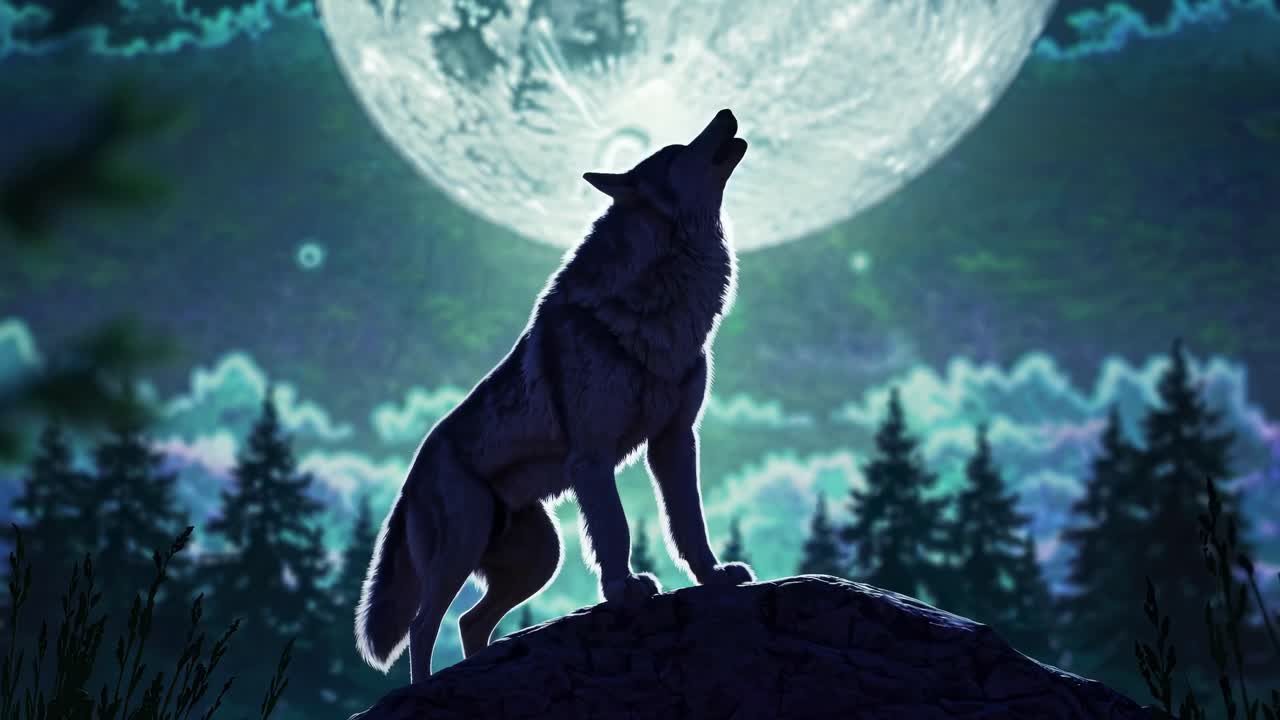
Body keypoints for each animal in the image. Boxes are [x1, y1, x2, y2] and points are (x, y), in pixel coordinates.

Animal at [355, 109, 755, 681]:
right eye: (680, 150)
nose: (726, 113)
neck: (662, 305)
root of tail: (410, 478)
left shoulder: (675, 441)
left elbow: (689, 524)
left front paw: (714, 576)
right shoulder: (592, 457)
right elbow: (615, 530)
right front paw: (625, 591)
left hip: (541, 558)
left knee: (469, 623)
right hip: (462, 550)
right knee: (422, 626)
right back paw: (420, 690)